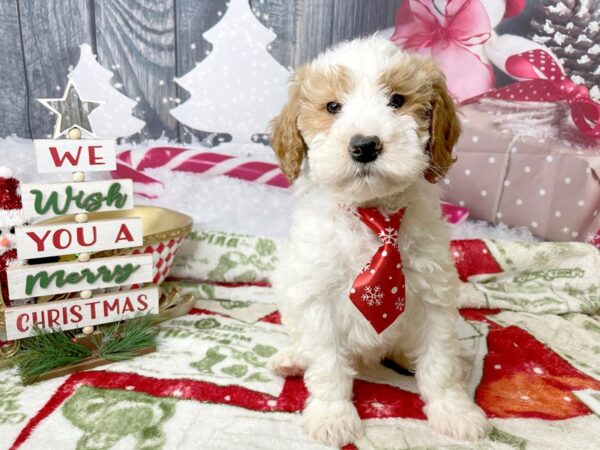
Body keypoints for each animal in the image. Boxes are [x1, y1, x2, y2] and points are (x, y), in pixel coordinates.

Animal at [270, 36, 490, 446]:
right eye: (333, 107)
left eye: (398, 100)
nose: (365, 145)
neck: (374, 216)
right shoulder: (318, 296)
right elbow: (327, 363)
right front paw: (332, 415)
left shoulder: (433, 292)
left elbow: (440, 362)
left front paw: (454, 411)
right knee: (300, 337)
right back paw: (293, 358)